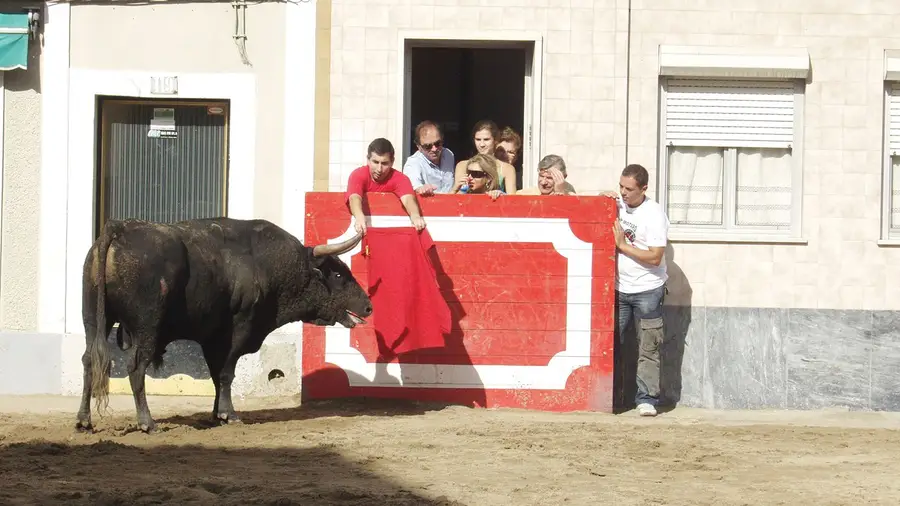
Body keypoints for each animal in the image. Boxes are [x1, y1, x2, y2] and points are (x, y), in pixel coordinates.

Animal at [74, 215, 372, 432]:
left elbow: (217, 375)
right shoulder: (239, 328)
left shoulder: (212, 337)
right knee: (136, 367)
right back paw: (147, 422)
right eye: (338, 274)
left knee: (89, 360)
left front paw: (218, 414)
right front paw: (230, 414)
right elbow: (227, 373)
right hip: (148, 328)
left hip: (93, 320)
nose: (368, 306)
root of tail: (119, 228)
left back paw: (84, 420)